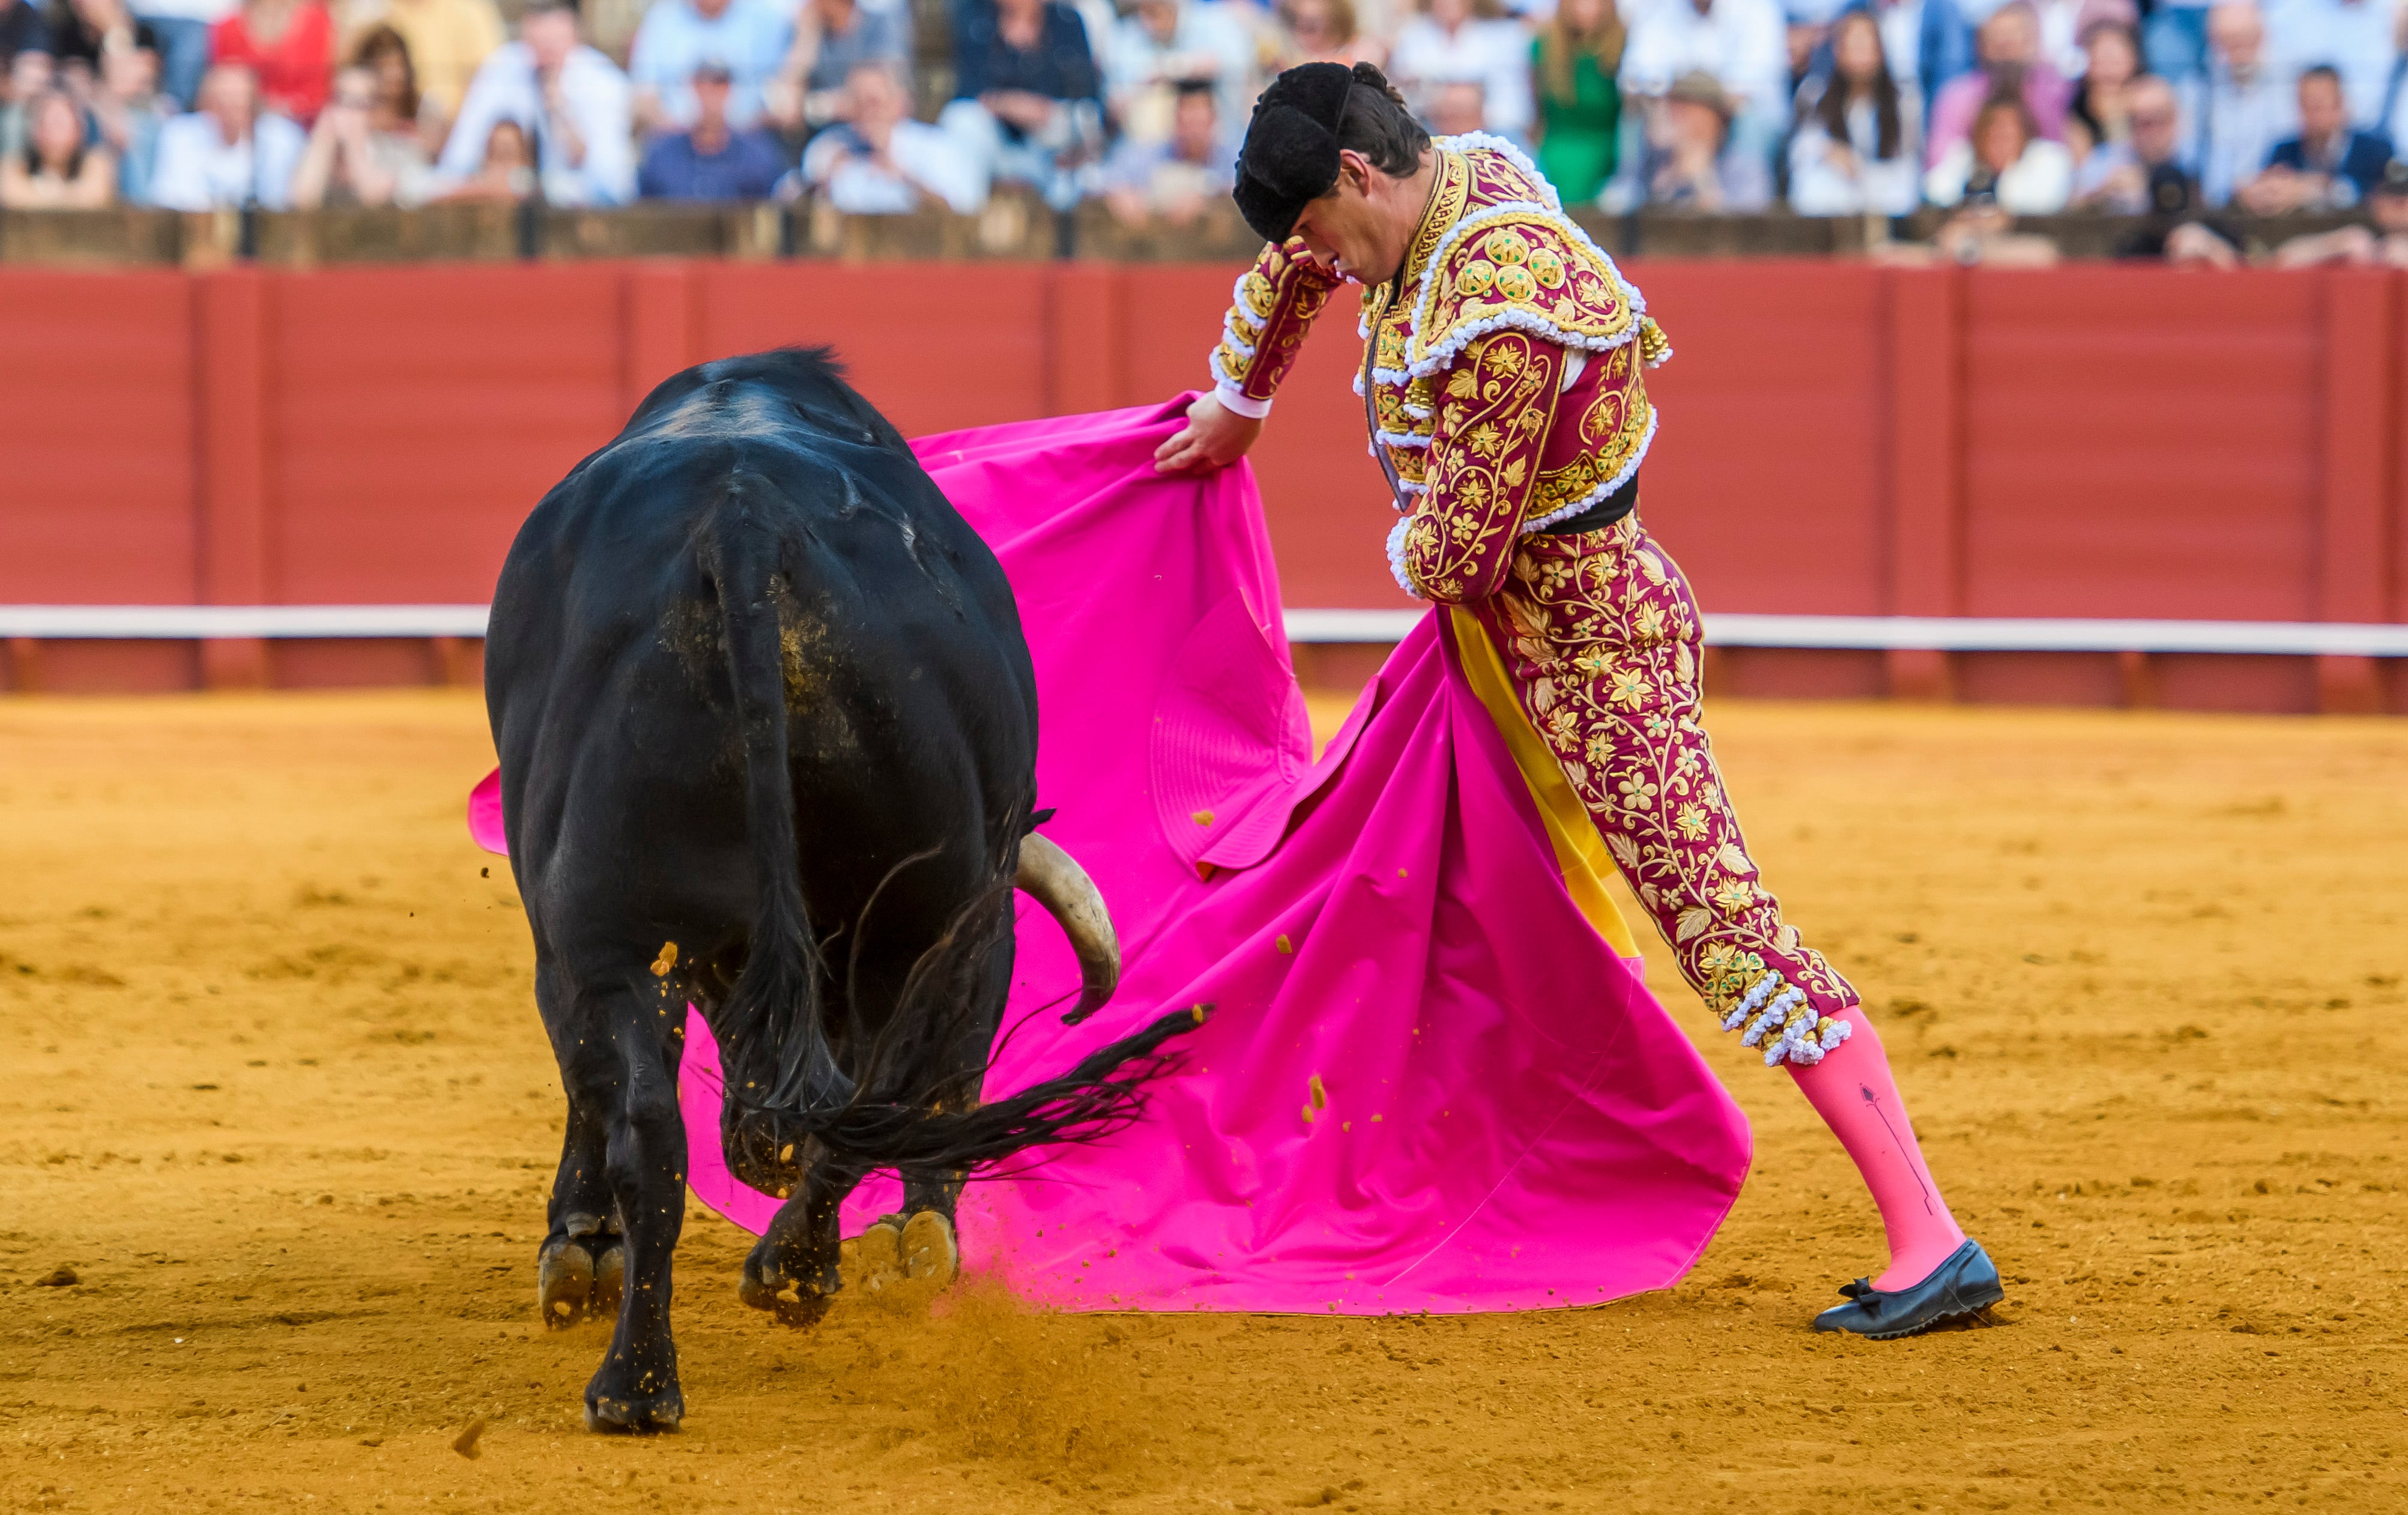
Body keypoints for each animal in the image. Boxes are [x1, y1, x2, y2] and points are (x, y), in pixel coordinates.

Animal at [486, 349, 1204, 1426]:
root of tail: (747, 525)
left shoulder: (581, 939)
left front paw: (582, 1250)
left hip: (625, 924)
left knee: (662, 1119)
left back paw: (656, 1366)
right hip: (916, 911)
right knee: (842, 1094)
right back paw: (754, 1301)